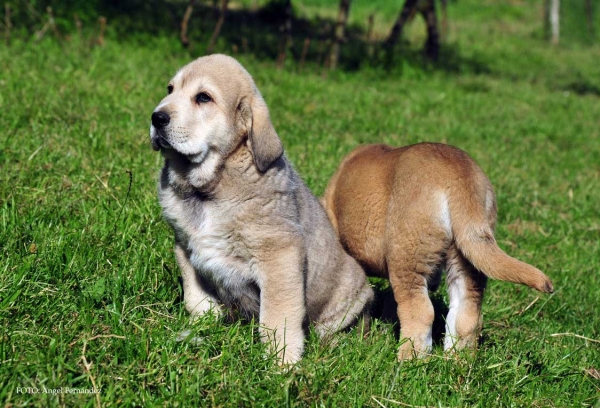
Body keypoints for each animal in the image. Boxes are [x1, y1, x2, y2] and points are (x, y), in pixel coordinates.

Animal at [148, 54, 372, 364]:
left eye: (203, 97)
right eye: (170, 89)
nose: (156, 117)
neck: (209, 189)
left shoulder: (279, 257)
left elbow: (278, 317)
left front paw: (282, 363)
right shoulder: (185, 247)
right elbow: (196, 299)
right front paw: (198, 330)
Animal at [324, 143, 552, 360]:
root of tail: (458, 176)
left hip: (409, 257)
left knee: (420, 312)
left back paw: (409, 361)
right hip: (465, 258)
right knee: (466, 313)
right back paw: (456, 360)